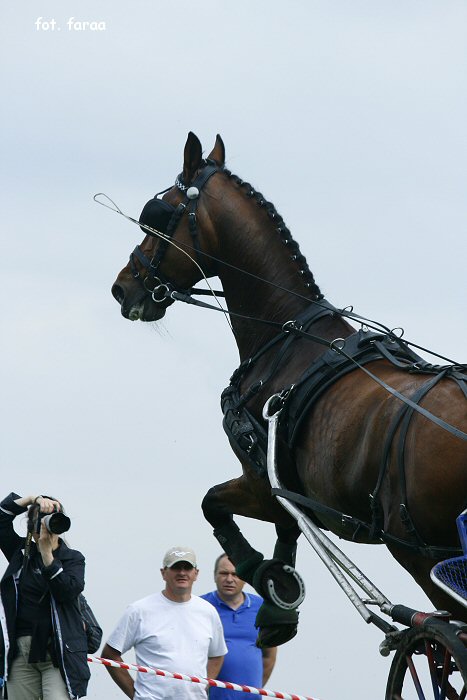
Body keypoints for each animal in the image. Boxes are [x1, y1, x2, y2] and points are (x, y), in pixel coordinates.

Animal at [111, 131, 467, 644]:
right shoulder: (284, 490)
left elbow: (214, 504)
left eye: (157, 215)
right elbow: (282, 530)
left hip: (421, 554)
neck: (286, 334)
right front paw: (278, 597)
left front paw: (266, 580)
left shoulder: (263, 482)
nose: (124, 287)